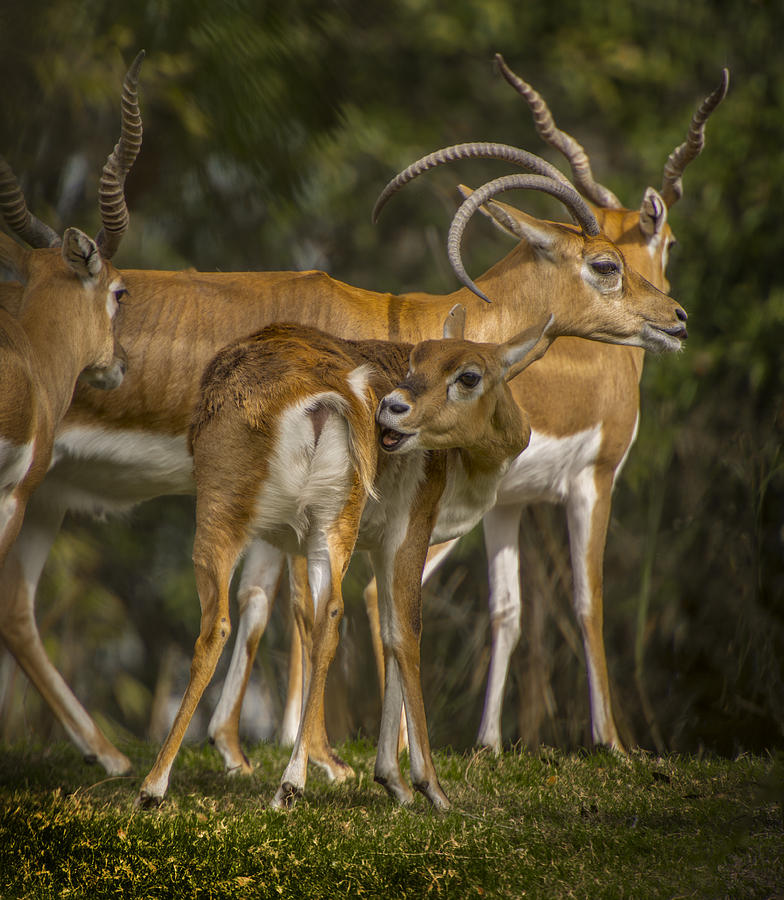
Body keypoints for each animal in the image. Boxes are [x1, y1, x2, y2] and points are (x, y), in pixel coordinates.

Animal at [138, 308, 556, 808]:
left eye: (468, 375)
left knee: (239, 621)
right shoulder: (403, 529)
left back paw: (169, 786)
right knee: (320, 616)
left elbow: (382, 626)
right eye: (417, 358)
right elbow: (399, 630)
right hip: (320, 520)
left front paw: (399, 781)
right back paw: (282, 781)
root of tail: (328, 395)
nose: (393, 407)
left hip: (252, 515)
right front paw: (418, 786)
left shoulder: (374, 538)